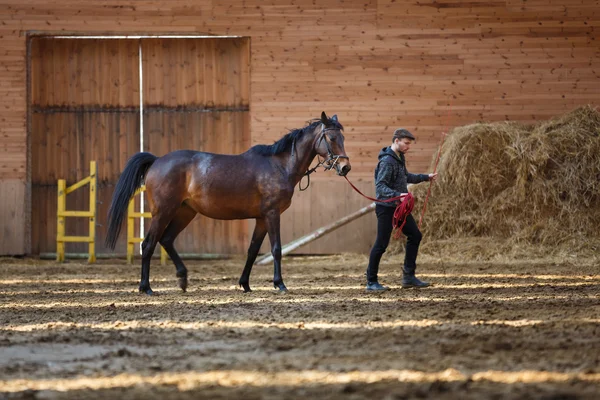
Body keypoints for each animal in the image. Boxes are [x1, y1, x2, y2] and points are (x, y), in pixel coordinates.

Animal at [105, 111, 350, 294]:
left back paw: (182, 278)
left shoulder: (261, 218)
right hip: (163, 212)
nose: (345, 167)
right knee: (148, 244)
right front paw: (279, 284)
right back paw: (146, 287)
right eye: (331, 138)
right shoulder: (272, 214)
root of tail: (157, 161)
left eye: (343, 138)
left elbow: (253, 250)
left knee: (166, 240)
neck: (279, 166)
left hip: (185, 212)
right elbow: (276, 248)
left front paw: (245, 284)